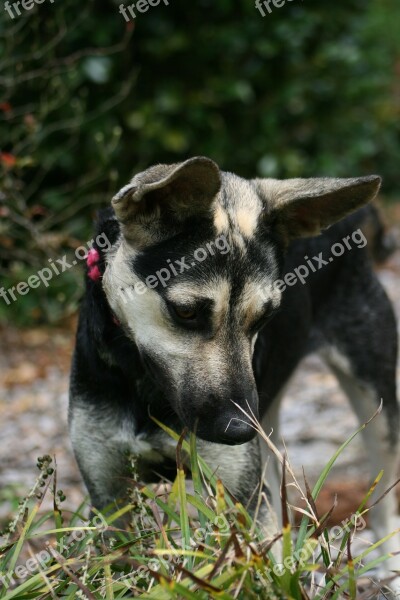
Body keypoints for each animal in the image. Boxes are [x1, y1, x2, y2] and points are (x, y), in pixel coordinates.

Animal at [69, 157, 400, 580]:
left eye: (265, 317)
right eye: (186, 312)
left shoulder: (242, 497)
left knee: (384, 507)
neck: (147, 389)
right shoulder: (110, 497)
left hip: (376, 406)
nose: (239, 430)